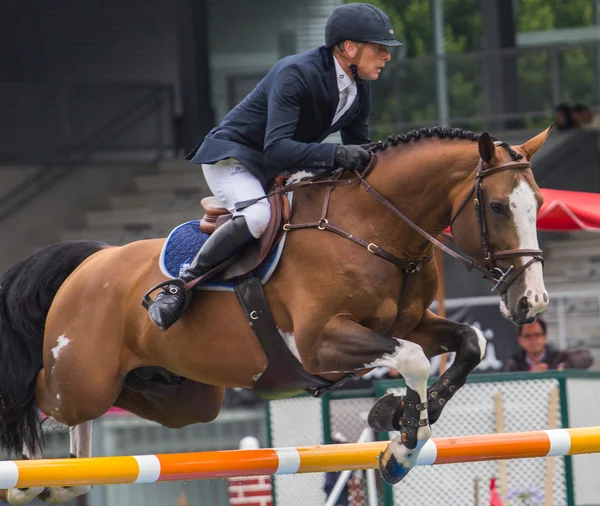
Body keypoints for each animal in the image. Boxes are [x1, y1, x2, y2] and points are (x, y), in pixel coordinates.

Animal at [0, 126, 552, 502]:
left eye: (540, 202)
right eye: (498, 207)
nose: (532, 301)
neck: (374, 229)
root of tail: (91, 260)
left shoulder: (410, 323)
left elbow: (467, 343)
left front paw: (402, 417)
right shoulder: (319, 341)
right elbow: (414, 359)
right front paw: (401, 442)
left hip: (185, 398)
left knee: (115, 405)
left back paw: (70, 477)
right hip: (80, 376)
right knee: (39, 392)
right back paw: (29, 478)